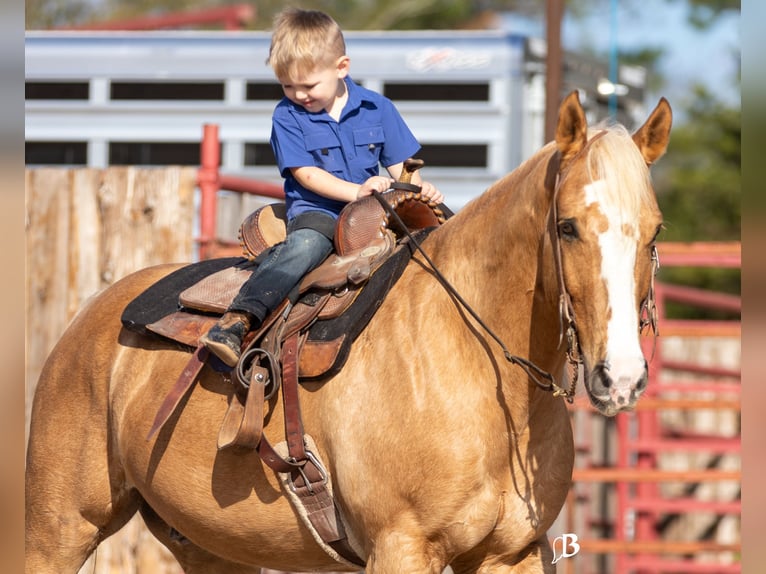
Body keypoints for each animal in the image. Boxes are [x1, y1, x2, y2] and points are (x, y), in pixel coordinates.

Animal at [25, 91, 671, 574]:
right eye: (566, 226)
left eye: (655, 231)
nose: (621, 377)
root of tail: (91, 317)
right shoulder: (401, 547)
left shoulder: (513, 554)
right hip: (61, 527)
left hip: (210, 546)